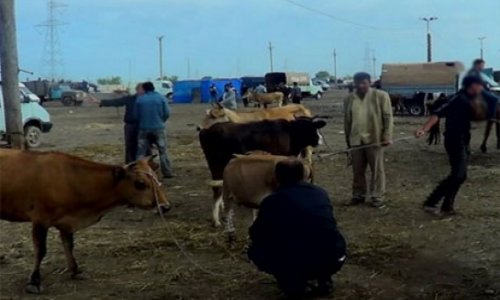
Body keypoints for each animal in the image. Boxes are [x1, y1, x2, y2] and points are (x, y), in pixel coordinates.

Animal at [0, 150, 170, 292]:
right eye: (140, 183)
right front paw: (34, 281)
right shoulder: (40, 220)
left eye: (157, 179)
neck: (71, 179)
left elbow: (69, 245)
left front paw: (76, 271)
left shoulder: (66, 222)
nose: (165, 206)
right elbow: (41, 250)